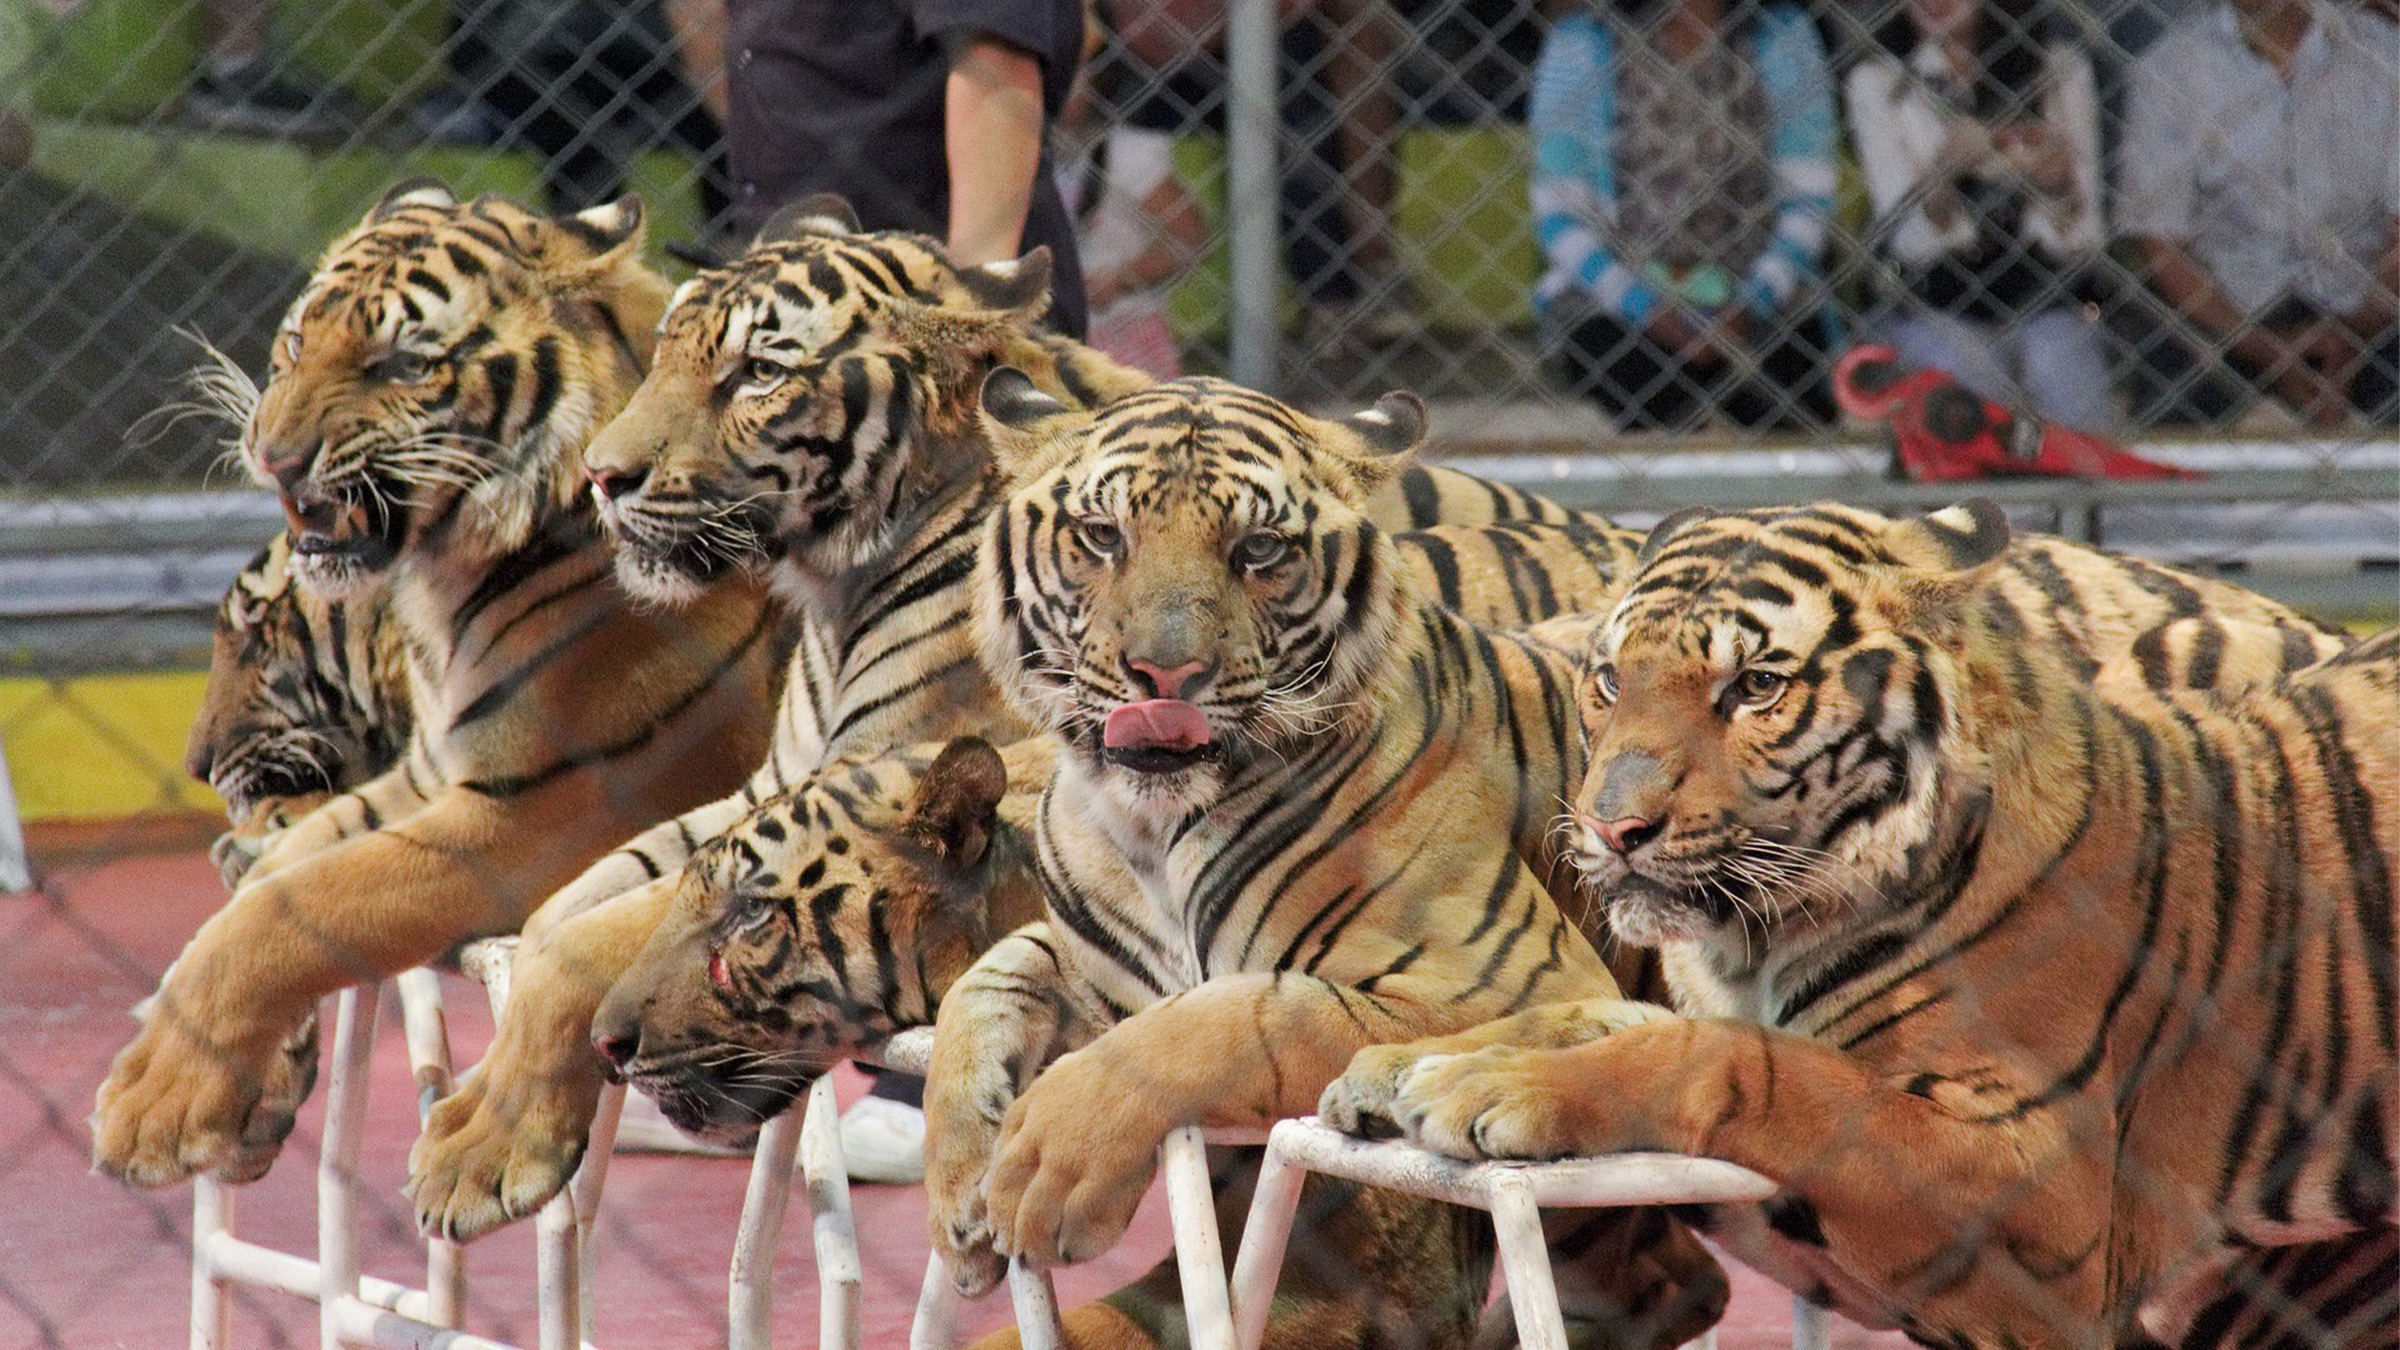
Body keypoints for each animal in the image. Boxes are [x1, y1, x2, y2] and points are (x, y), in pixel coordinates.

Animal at [412, 201, 1651, 1239]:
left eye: (756, 374)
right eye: (667, 350)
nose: (604, 479)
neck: (837, 590)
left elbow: (594, 936)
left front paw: (480, 1153)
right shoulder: (770, 785)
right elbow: (573, 911)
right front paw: (482, 1109)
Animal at [921, 372, 1747, 1345]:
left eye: (1258, 548)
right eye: (1102, 536)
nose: (1165, 677)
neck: (1150, 829)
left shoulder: (1525, 978)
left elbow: (1241, 1014)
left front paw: (1044, 1170)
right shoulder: (1095, 960)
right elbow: (984, 980)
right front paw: (960, 1195)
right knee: (1677, 1279)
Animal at [1324, 502, 2390, 1345]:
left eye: (1755, 686)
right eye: (1611, 680)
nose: (1611, 828)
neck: (1753, 941)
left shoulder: (2046, 1200)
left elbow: (1759, 1065)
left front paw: (1493, 1084)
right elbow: (1617, 1019)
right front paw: (1412, 1063)